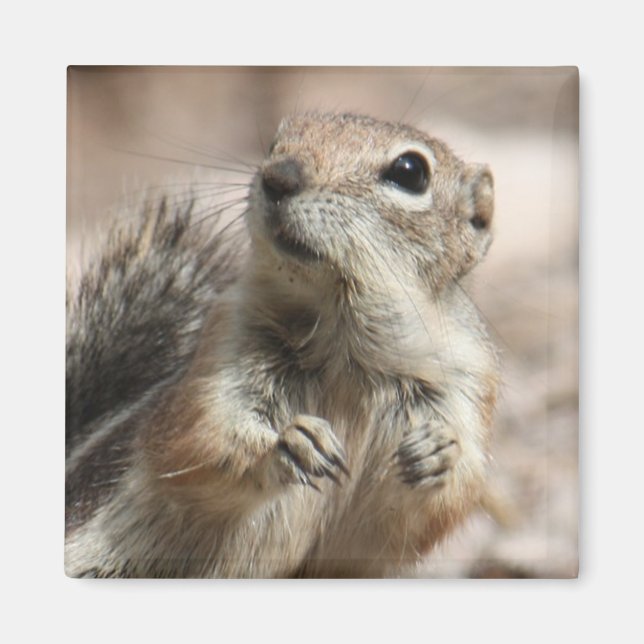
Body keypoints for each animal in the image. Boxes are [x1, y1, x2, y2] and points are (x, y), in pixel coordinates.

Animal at [65, 111, 499, 578]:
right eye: (276, 142)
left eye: (410, 172)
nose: (279, 176)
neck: (344, 345)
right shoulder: (227, 343)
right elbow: (198, 436)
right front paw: (289, 443)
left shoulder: (464, 385)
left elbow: (426, 514)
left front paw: (441, 453)